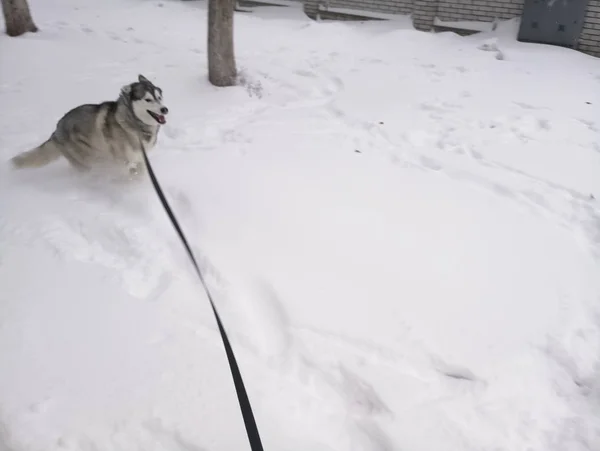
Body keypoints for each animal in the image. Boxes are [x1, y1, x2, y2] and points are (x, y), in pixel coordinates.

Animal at [9, 74, 169, 175]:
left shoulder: (140, 158)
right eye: (148, 100)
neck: (134, 121)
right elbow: (129, 171)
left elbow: (141, 171)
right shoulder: (120, 160)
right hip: (87, 159)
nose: (165, 109)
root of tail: (56, 131)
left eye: (159, 97)